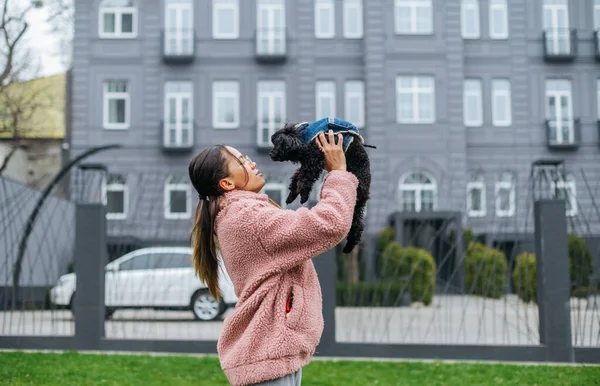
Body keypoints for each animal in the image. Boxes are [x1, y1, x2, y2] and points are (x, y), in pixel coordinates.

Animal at [270, 119, 372, 255]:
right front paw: (291, 196)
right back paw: (349, 246)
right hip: (356, 206)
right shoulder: (307, 162)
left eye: (280, 145)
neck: (301, 137)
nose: (270, 154)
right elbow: (297, 177)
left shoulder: (314, 159)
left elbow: (305, 178)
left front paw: (303, 196)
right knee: (357, 225)